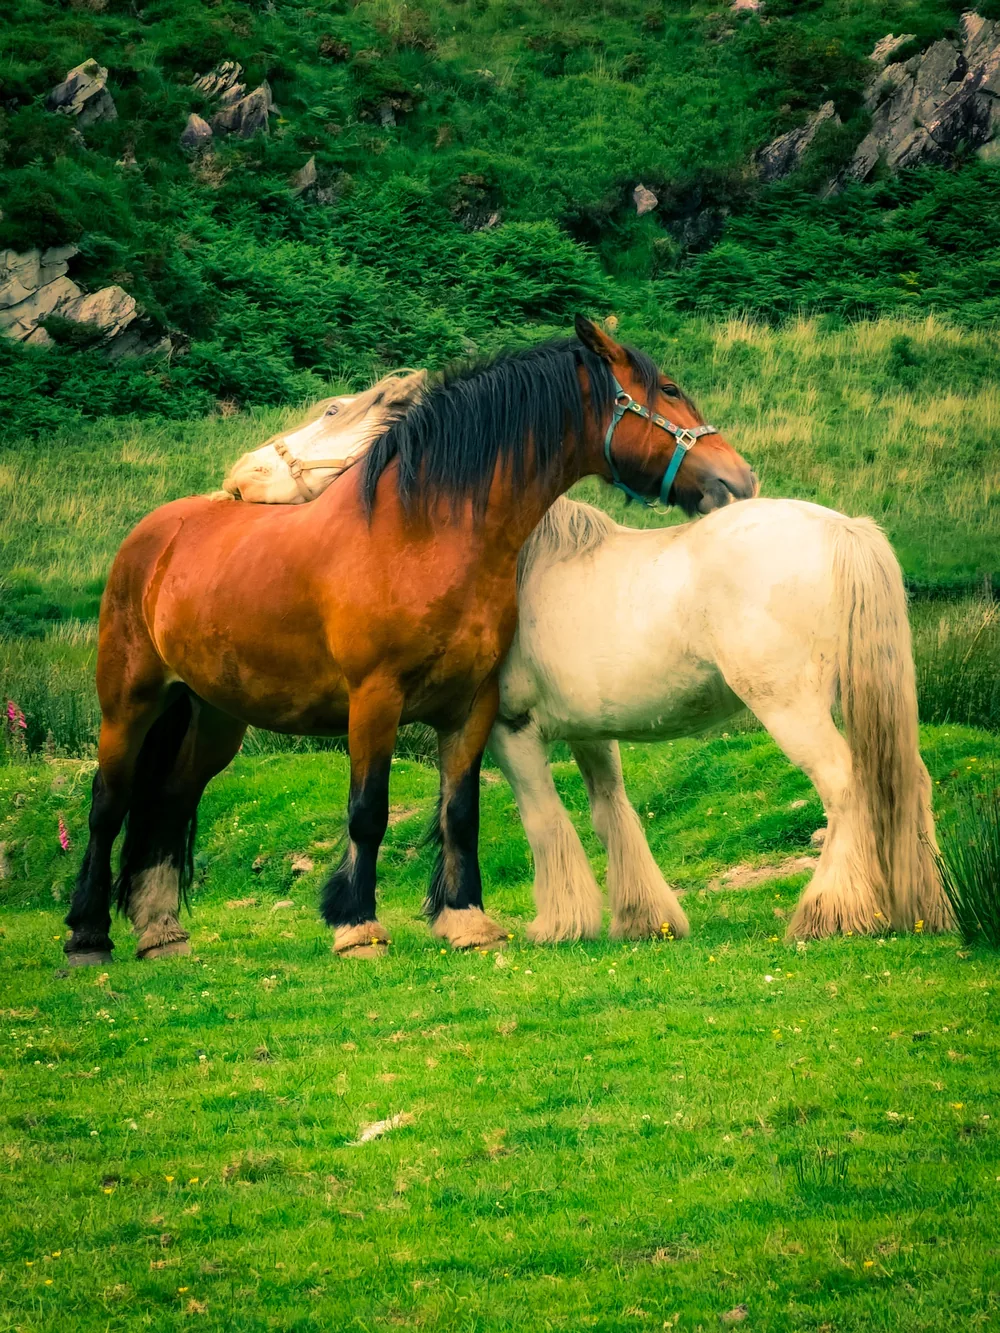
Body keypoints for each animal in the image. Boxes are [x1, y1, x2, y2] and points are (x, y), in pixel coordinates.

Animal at [490, 495, 949, 943]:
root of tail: (842, 528)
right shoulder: (590, 731)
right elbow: (610, 813)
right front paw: (644, 921)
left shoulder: (510, 731)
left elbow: (543, 820)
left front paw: (559, 925)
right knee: (911, 780)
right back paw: (926, 909)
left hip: (791, 710)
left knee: (844, 785)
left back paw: (830, 914)